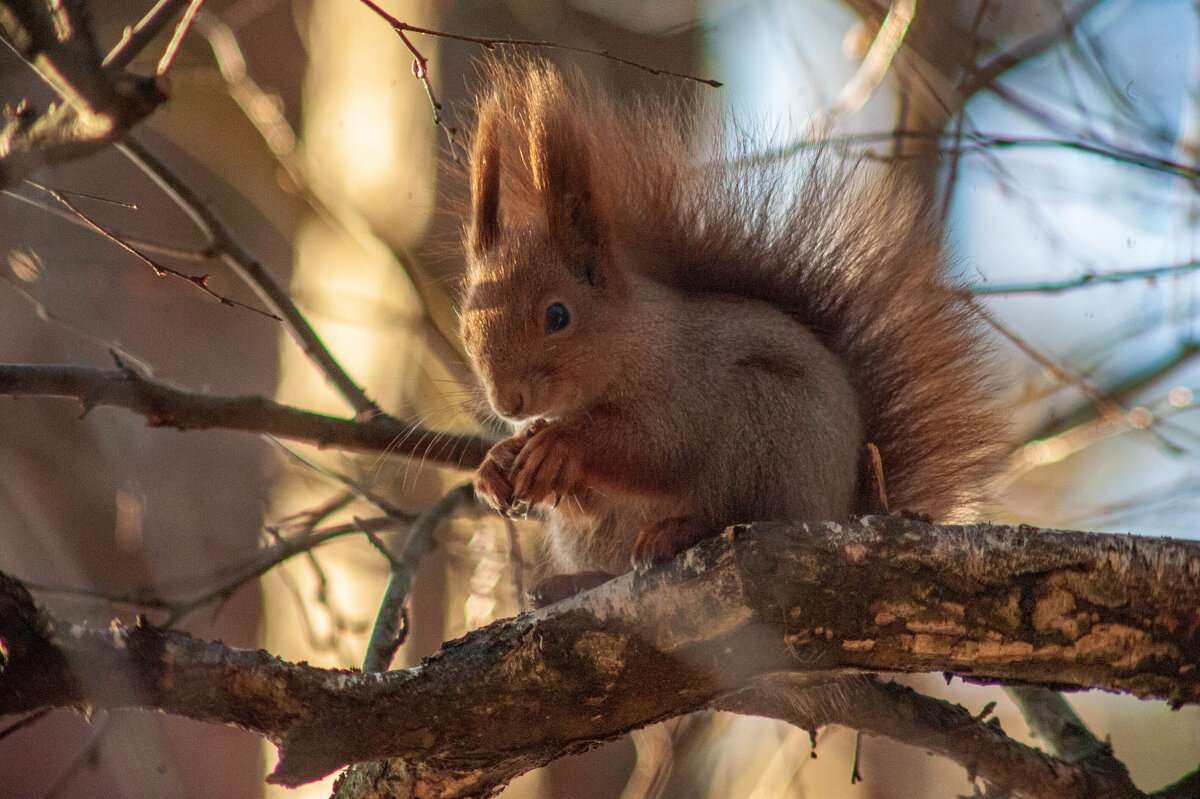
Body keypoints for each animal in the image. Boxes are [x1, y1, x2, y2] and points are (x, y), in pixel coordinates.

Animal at [458, 60, 1003, 585]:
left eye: (558, 315)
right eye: (465, 328)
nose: (508, 403)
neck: (630, 342)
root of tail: (844, 509)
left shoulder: (685, 380)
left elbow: (661, 446)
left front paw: (560, 445)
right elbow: (578, 494)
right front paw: (497, 463)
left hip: (766, 430)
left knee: (729, 513)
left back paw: (676, 532)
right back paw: (570, 582)